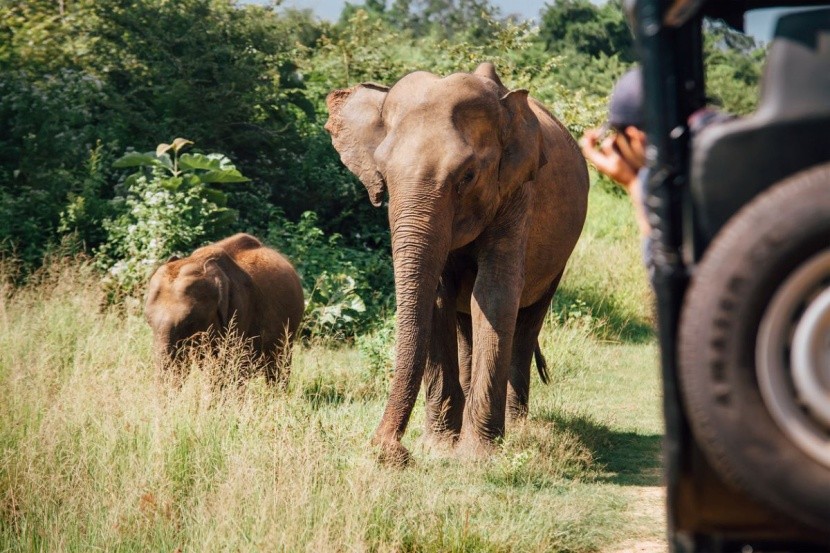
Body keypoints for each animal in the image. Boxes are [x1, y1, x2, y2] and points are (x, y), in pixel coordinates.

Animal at [326, 62, 592, 462]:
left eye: (467, 177)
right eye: (383, 176)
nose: (388, 450)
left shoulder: (517, 192)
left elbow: (495, 294)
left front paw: (477, 456)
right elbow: (439, 299)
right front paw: (439, 447)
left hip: (560, 256)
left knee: (527, 321)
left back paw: (518, 426)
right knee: (466, 318)